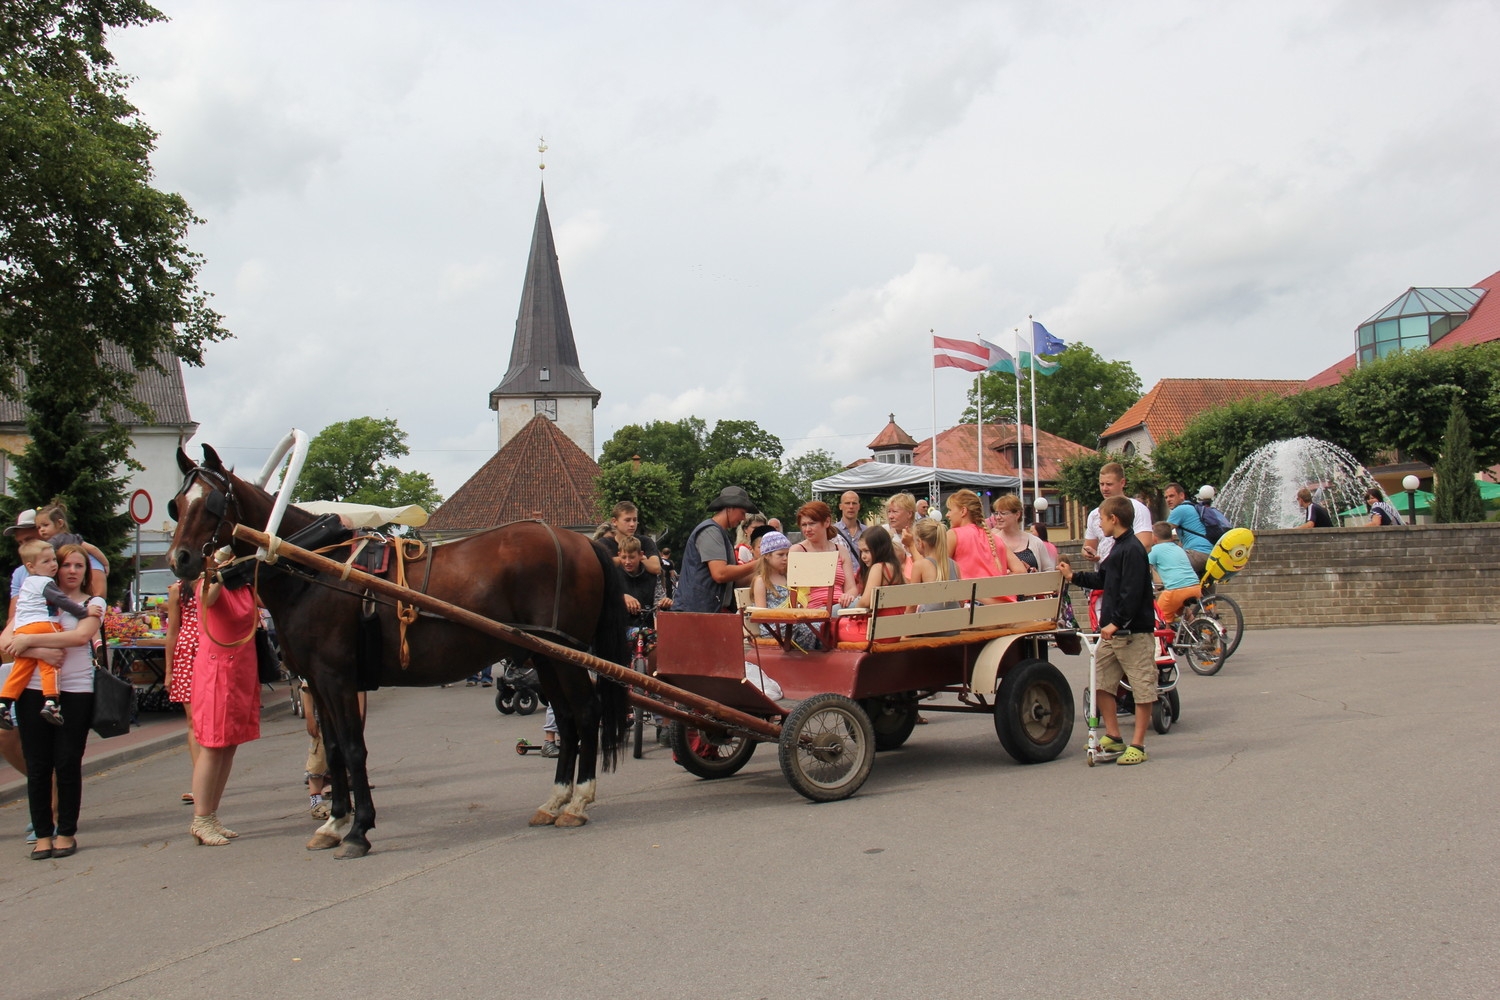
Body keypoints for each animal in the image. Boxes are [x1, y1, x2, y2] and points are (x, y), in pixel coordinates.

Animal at [167, 446, 630, 863]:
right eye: (177, 506)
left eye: (211, 503)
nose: (179, 560)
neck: (314, 566)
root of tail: (578, 541)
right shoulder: (318, 682)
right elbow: (332, 749)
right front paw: (334, 823)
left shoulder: (337, 678)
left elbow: (353, 748)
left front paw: (358, 830)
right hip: (545, 658)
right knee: (567, 719)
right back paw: (555, 800)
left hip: (566, 655)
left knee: (586, 714)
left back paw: (578, 801)